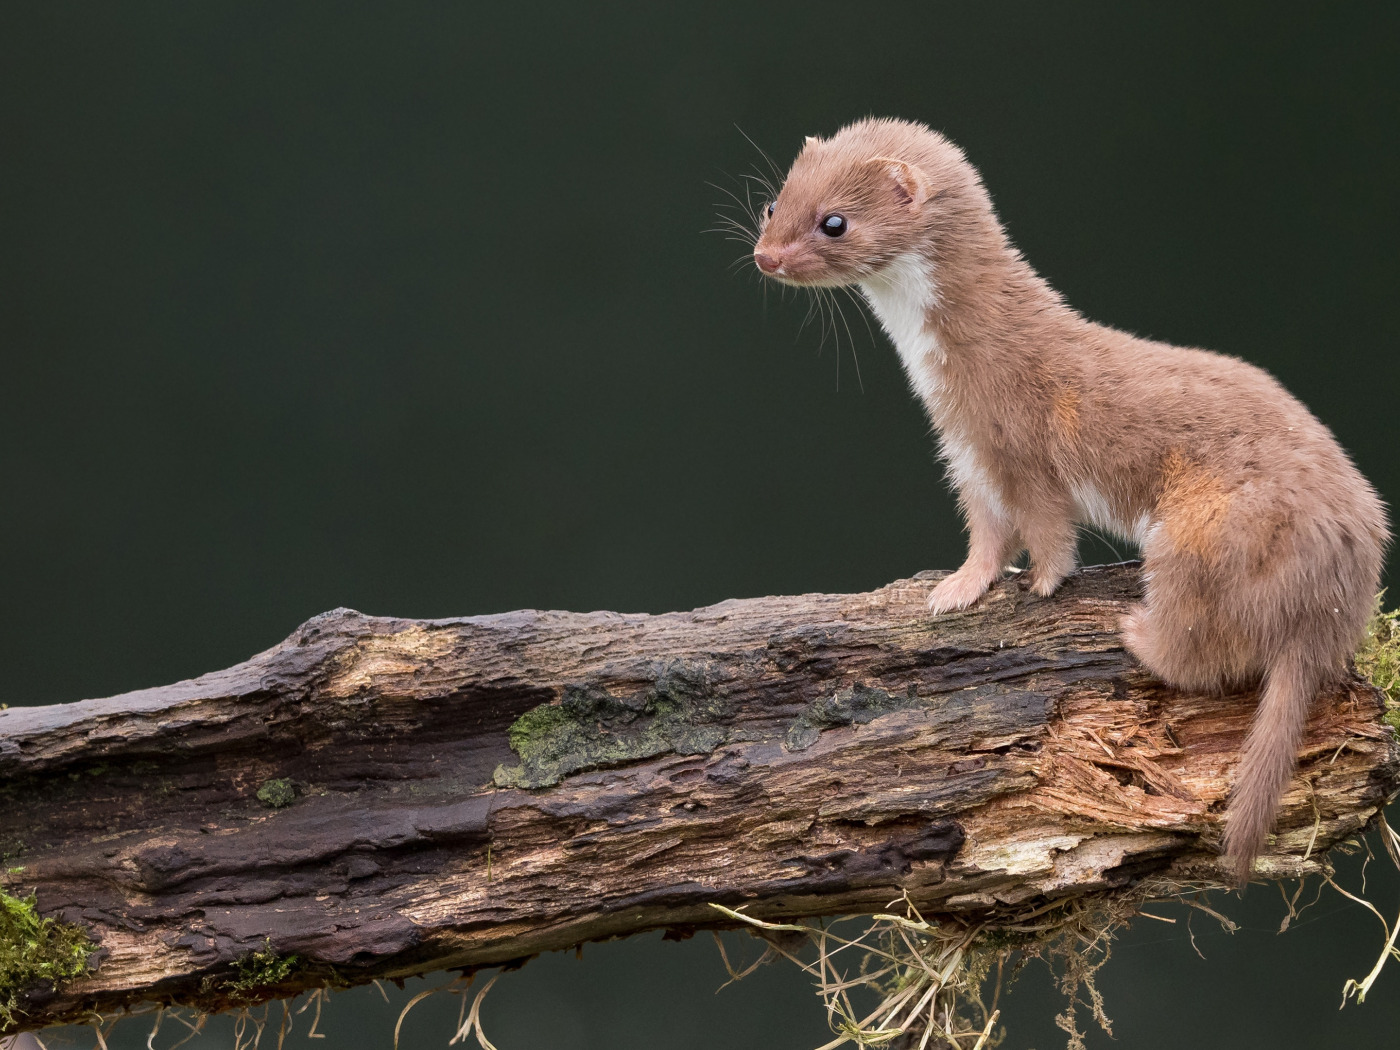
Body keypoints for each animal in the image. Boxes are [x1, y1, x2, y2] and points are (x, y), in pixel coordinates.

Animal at [750, 116, 1383, 879]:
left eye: (834, 221)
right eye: (773, 202)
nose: (764, 257)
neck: (944, 375)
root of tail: (1334, 593)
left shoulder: (1020, 445)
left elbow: (1047, 528)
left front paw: (1042, 585)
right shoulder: (965, 451)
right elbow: (986, 535)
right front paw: (956, 591)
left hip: (1202, 532)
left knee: (1206, 653)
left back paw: (1135, 631)